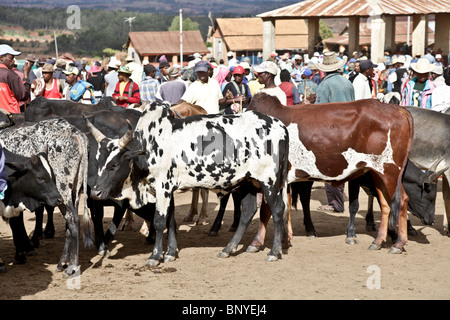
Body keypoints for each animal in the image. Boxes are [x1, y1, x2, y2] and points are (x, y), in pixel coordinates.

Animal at [0, 119, 90, 274]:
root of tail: (75, 132)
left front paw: (21, 253)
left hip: (63, 193)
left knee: (72, 221)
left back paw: (71, 264)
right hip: (75, 192)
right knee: (73, 222)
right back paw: (64, 262)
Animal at [87, 102, 290, 264]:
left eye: (114, 165)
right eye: (98, 162)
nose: (95, 192)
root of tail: (280, 126)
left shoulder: (162, 189)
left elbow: (159, 222)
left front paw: (155, 256)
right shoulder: (168, 190)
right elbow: (170, 221)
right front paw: (170, 253)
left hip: (269, 182)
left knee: (278, 209)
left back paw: (274, 252)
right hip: (247, 182)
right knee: (248, 212)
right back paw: (228, 249)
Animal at [246, 94, 414, 254]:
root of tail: (398, 109)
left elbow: (265, 210)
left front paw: (256, 242)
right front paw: (285, 238)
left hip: (390, 172)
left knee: (402, 200)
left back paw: (399, 243)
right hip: (378, 173)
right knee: (386, 204)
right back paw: (378, 242)